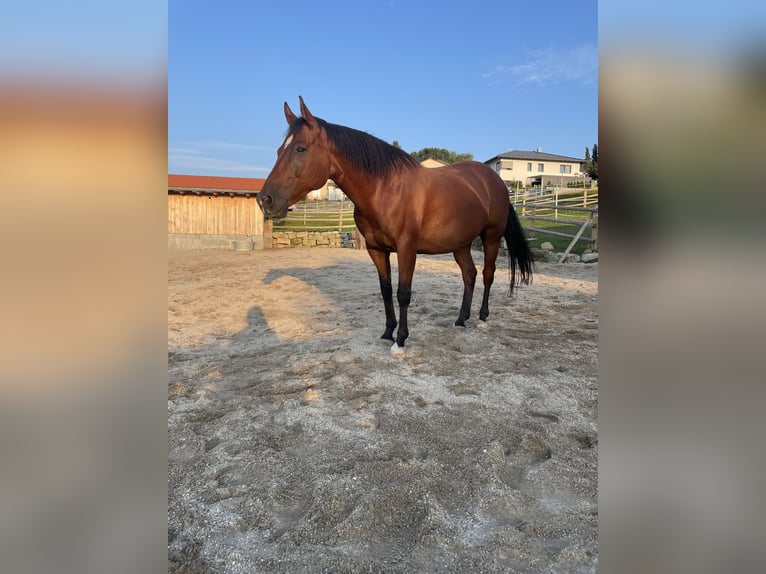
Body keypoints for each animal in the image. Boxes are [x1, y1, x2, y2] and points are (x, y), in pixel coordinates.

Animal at [258, 97, 533, 356]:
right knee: (470, 274)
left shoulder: (406, 248)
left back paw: (483, 318)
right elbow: (386, 290)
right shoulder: (376, 250)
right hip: (460, 243)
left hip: (491, 237)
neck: (383, 188)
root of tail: (495, 181)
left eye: (300, 148)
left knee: (487, 274)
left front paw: (400, 340)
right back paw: (460, 319)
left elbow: (403, 293)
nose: (265, 200)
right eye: (279, 150)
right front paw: (387, 332)